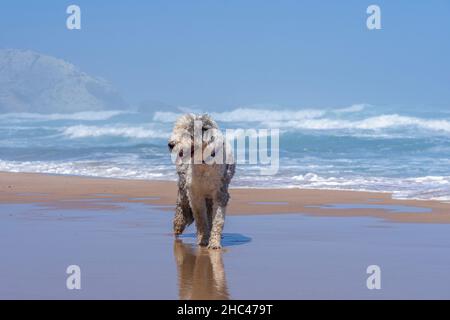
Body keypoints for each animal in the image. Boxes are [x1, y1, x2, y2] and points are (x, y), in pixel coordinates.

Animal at [167, 114, 234, 249]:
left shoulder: (220, 192)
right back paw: (178, 227)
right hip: (183, 187)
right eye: (177, 129)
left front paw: (214, 243)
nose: (171, 144)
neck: (204, 162)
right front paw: (203, 240)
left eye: (188, 132)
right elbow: (200, 218)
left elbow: (218, 219)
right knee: (181, 207)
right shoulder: (194, 193)